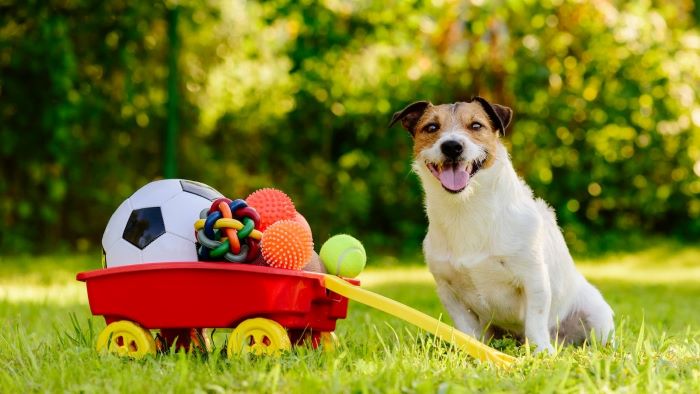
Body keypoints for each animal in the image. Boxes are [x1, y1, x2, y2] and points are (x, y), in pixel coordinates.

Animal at [392, 97, 616, 352]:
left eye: (476, 125)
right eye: (431, 127)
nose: (451, 146)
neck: (467, 208)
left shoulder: (534, 279)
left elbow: (535, 322)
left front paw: (541, 352)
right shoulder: (449, 292)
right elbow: (468, 331)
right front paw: (472, 351)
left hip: (596, 315)